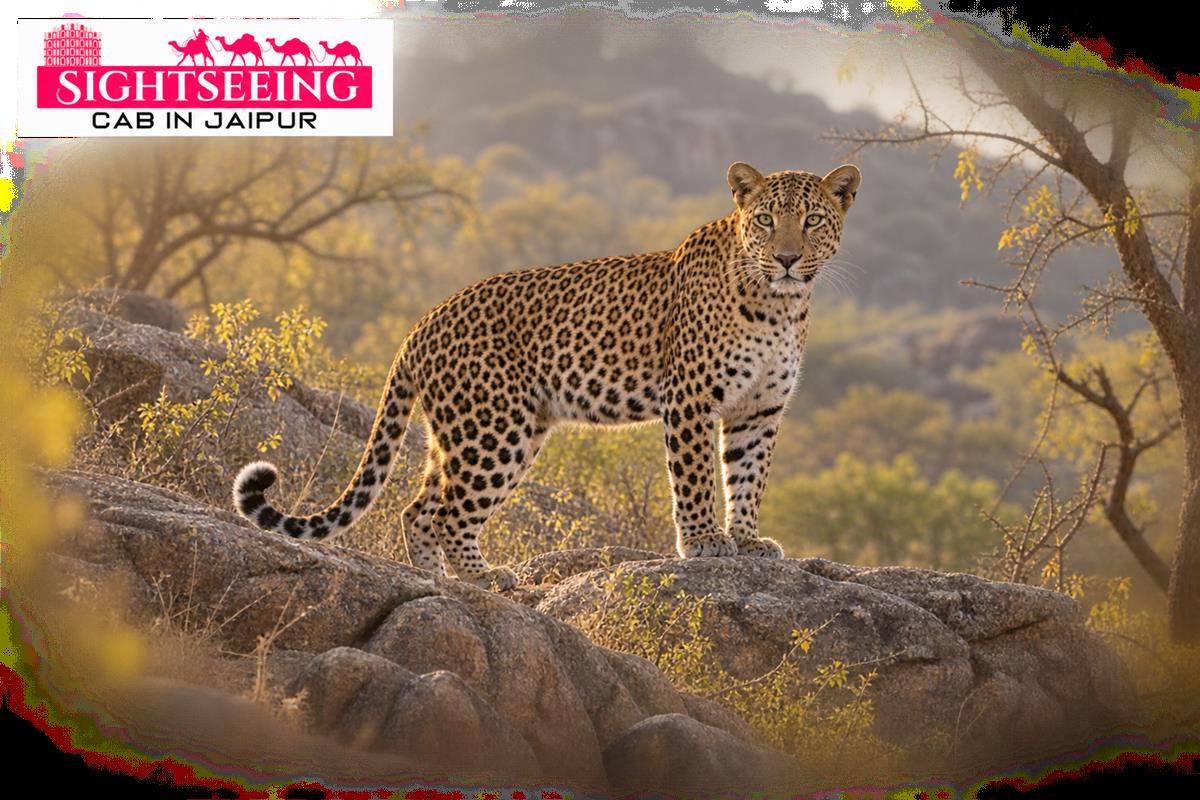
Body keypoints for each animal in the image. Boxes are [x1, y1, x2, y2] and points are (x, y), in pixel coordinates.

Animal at [233, 161, 861, 591]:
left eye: (811, 220)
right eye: (765, 221)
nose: (786, 258)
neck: (779, 305)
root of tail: (422, 322)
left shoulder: (760, 409)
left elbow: (748, 479)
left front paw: (749, 541)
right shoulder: (691, 400)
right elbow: (697, 480)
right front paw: (705, 543)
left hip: (474, 432)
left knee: (420, 508)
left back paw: (438, 581)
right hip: (494, 430)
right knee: (452, 511)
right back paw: (483, 578)